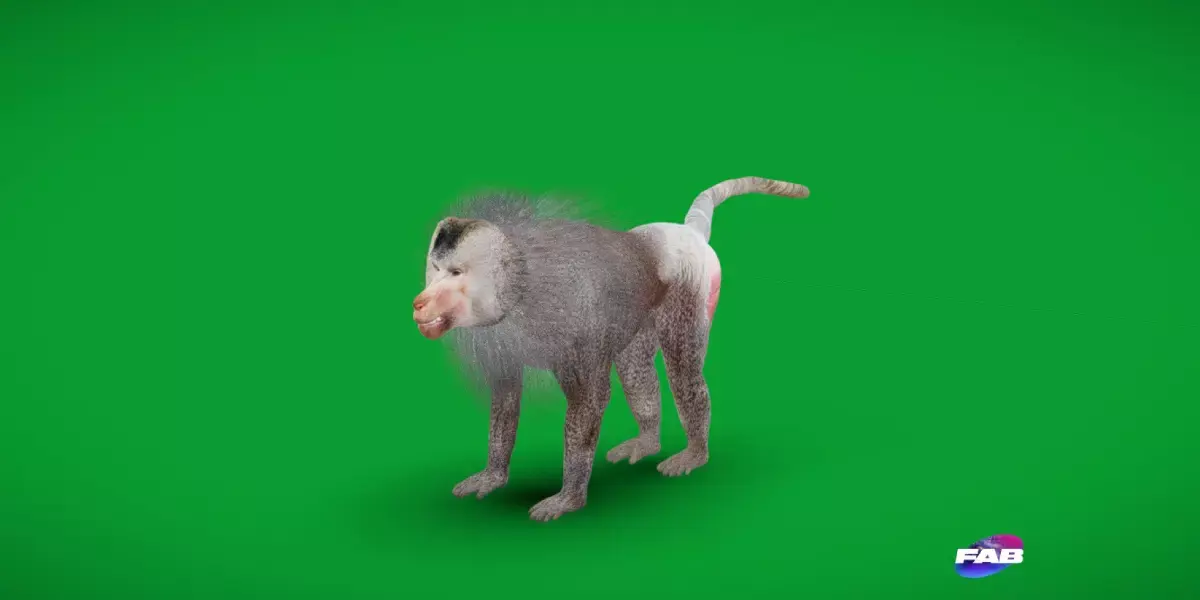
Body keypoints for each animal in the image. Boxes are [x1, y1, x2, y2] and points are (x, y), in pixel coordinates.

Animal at [411, 176, 811, 521]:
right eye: (435, 269)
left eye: (456, 274)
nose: (421, 301)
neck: (519, 287)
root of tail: (684, 232)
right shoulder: (499, 335)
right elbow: (506, 396)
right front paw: (493, 475)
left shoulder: (573, 319)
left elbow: (591, 398)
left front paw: (569, 497)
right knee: (635, 366)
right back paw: (648, 442)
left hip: (695, 280)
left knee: (682, 366)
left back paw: (696, 452)